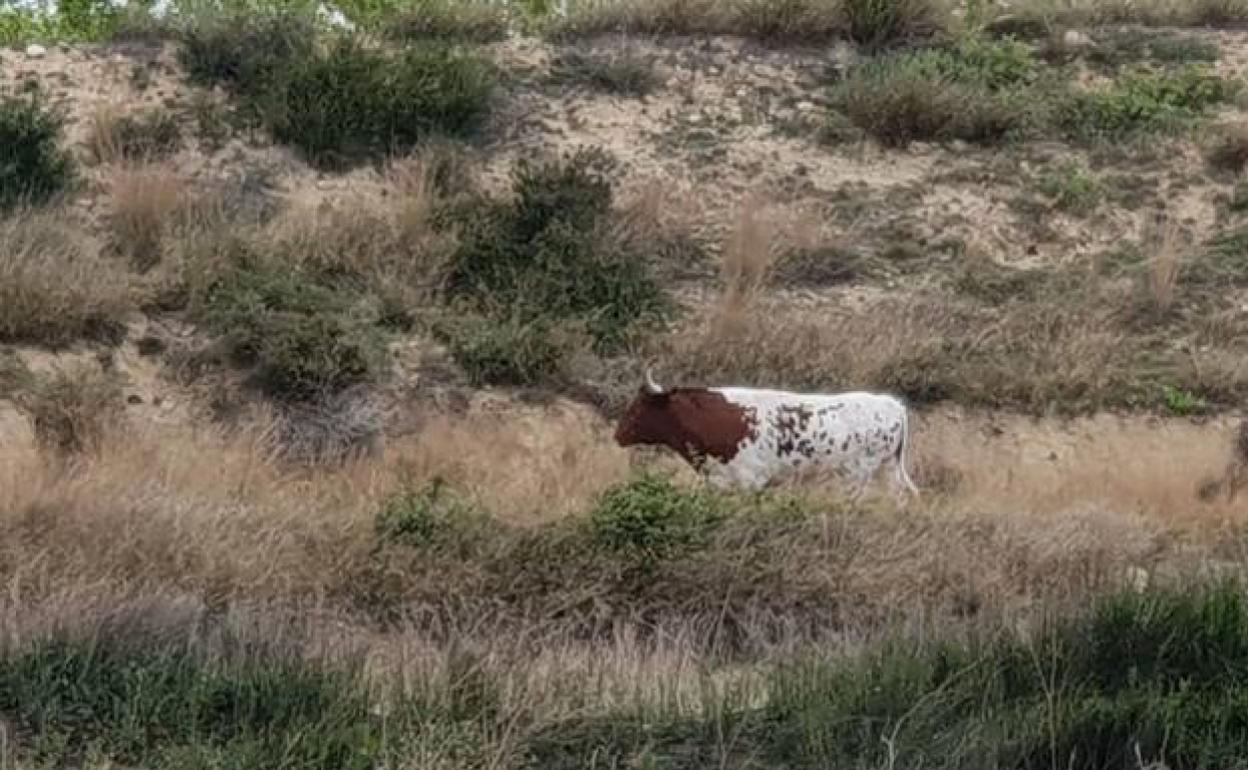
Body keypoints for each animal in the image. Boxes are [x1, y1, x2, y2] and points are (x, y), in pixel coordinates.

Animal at [613, 370, 919, 500]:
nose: (618, 434)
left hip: (858, 473)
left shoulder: (751, 481)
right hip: (887, 469)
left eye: (638, 408)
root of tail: (890, 402)